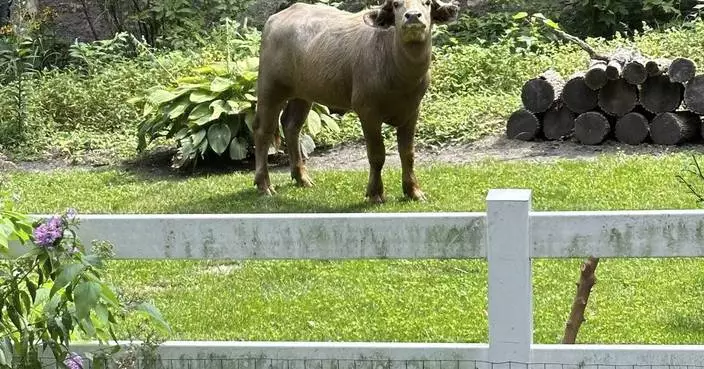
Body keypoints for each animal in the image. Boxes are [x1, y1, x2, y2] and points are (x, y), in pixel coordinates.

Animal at [250, 0, 460, 203]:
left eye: (427, 3)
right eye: (396, 4)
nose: (413, 16)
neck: (399, 73)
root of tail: (275, 19)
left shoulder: (412, 111)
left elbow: (407, 154)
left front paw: (414, 191)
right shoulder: (368, 112)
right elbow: (377, 155)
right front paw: (375, 193)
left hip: (302, 94)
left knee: (291, 125)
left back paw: (302, 178)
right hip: (270, 89)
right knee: (263, 130)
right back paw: (264, 185)